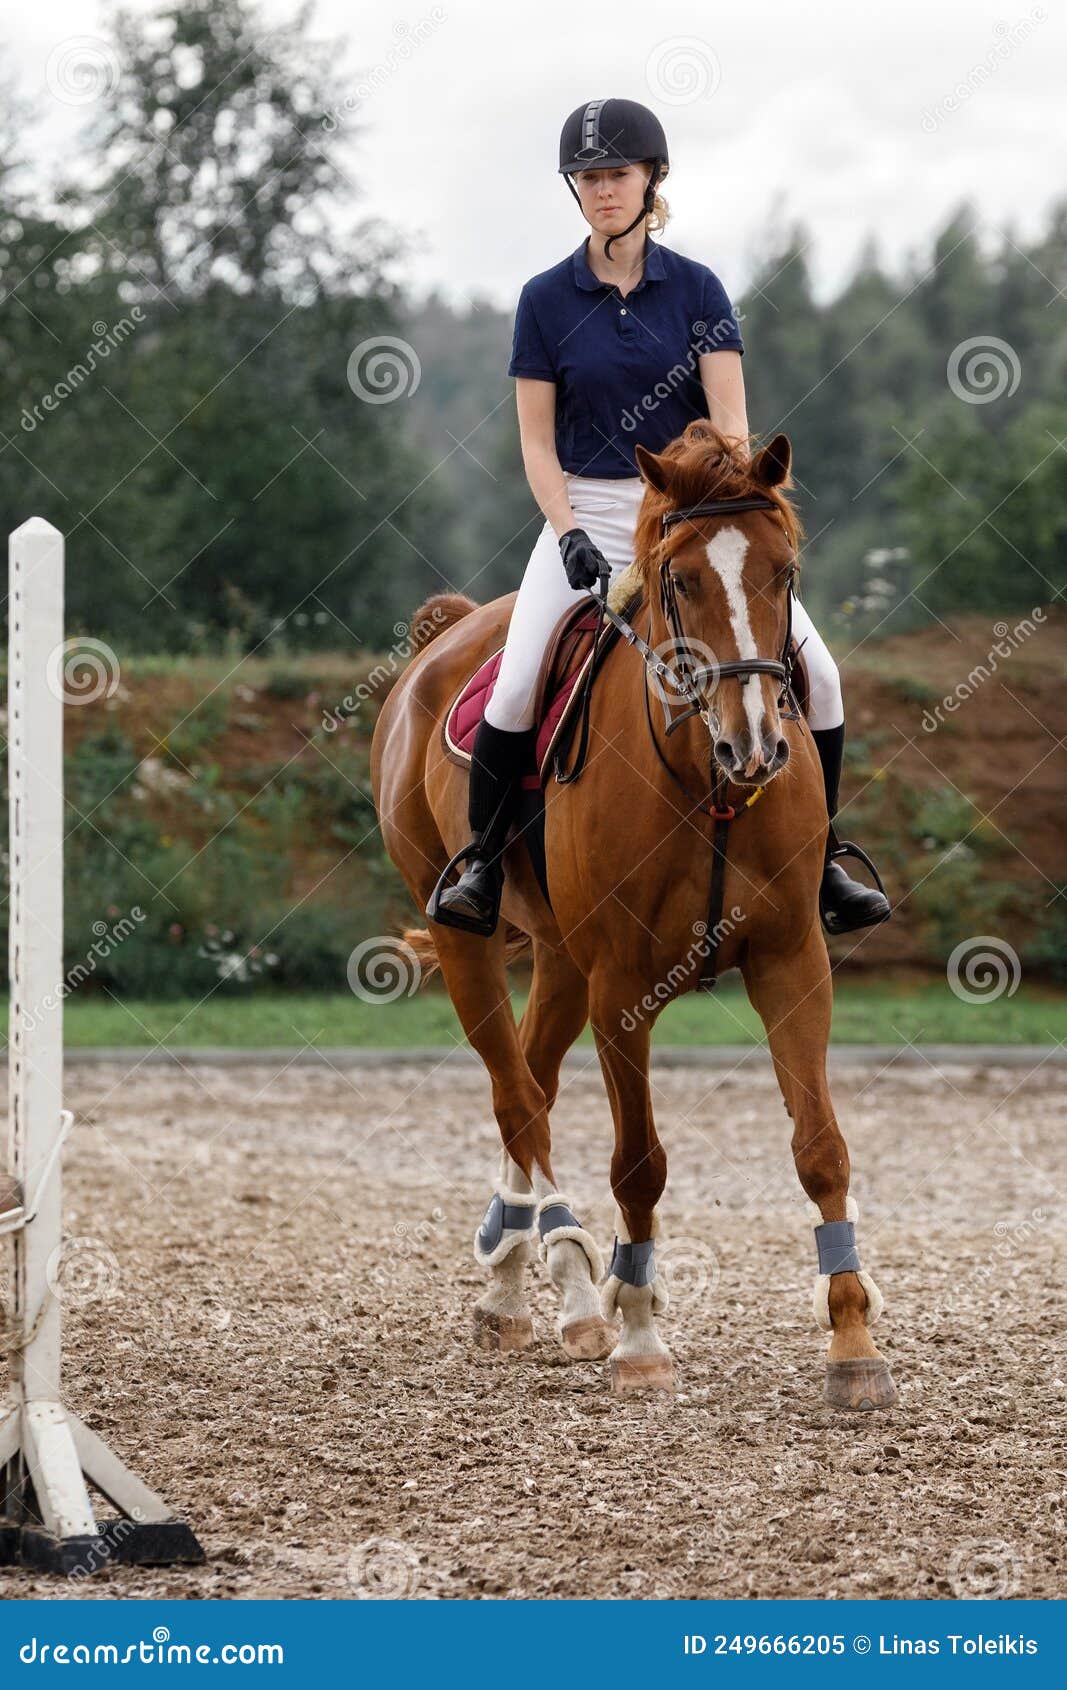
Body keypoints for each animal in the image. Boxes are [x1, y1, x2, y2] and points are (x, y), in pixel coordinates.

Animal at [372, 425, 899, 1412]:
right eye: (679, 582)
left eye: (783, 572)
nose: (755, 746)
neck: (706, 781)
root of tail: (449, 631)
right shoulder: (622, 985)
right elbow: (639, 1162)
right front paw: (641, 1336)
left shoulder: (790, 961)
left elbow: (821, 1148)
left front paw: (852, 1344)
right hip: (468, 942)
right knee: (516, 1099)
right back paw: (571, 1281)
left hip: (559, 958)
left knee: (532, 1086)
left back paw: (520, 1281)